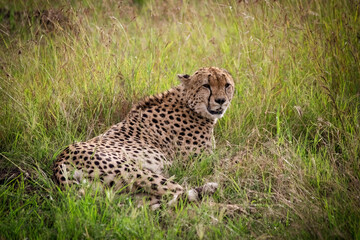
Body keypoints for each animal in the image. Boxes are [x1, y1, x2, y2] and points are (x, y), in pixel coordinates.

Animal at [52, 66, 233, 208]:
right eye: (206, 85)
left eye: (227, 85)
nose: (221, 100)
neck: (189, 104)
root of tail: (59, 161)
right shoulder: (197, 163)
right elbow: (227, 162)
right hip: (136, 171)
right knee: (179, 191)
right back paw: (222, 202)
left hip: (123, 193)